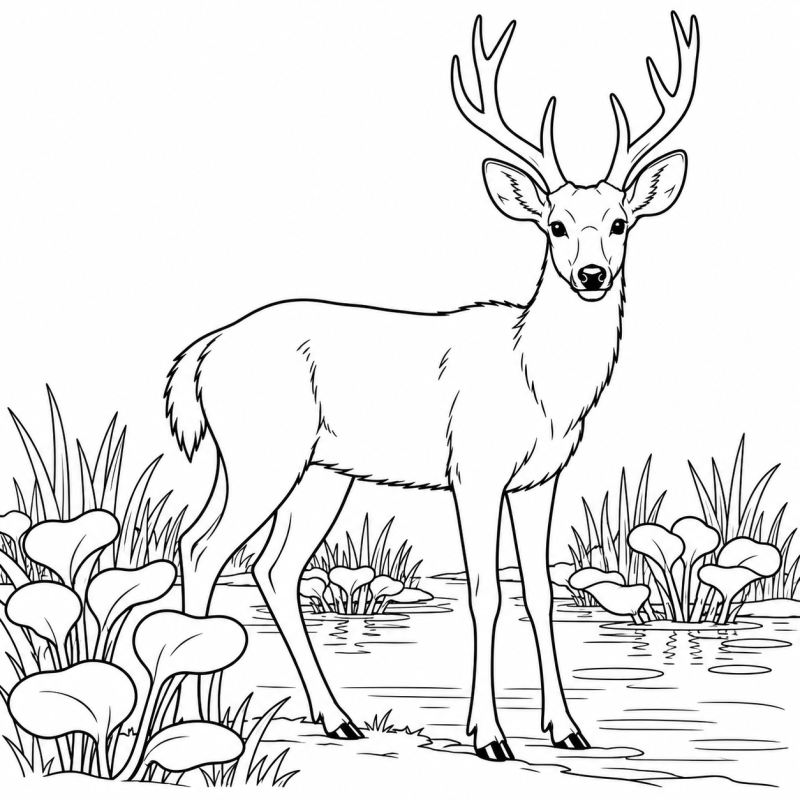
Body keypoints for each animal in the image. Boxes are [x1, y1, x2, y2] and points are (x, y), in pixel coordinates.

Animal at [165, 12, 699, 761]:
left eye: (620, 224)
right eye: (555, 225)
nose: (592, 275)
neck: (539, 383)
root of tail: (204, 352)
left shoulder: (541, 479)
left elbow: (540, 592)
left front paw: (567, 729)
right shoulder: (473, 468)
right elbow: (486, 594)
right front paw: (489, 736)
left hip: (319, 472)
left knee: (273, 565)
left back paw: (336, 716)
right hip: (262, 453)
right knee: (204, 546)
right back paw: (199, 715)